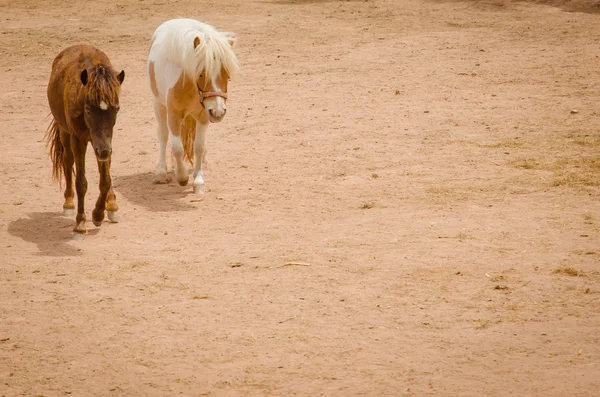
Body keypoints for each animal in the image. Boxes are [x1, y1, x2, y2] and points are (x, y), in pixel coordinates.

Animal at [46, 45, 125, 235]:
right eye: (88, 109)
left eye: (116, 108)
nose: (104, 151)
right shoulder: (78, 140)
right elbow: (81, 182)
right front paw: (80, 224)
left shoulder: (104, 143)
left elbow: (105, 180)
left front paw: (98, 214)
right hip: (65, 132)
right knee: (67, 161)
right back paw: (68, 202)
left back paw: (111, 205)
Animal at [146, 18, 238, 192]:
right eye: (201, 73)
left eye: (226, 73)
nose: (218, 112)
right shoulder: (173, 115)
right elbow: (177, 148)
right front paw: (182, 177)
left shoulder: (203, 116)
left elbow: (199, 146)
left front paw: (198, 180)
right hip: (158, 105)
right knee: (163, 135)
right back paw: (161, 172)